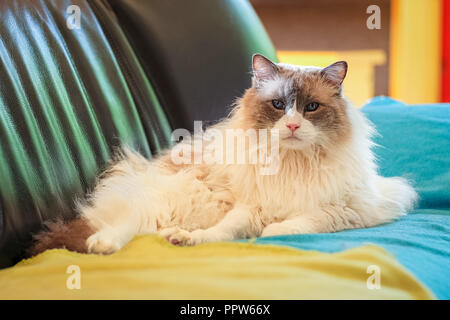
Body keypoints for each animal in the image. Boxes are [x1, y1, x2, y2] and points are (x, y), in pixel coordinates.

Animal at [29, 53, 418, 256]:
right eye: (279, 106)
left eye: (311, 108)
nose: (292, 126)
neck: (291, 164)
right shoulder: (250, 206)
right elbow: (225, 230)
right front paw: (208, 239)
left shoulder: (348, 210)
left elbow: (294, 224)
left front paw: (268, 233)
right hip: (176, 200)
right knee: (127, 221)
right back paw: (104, 245)